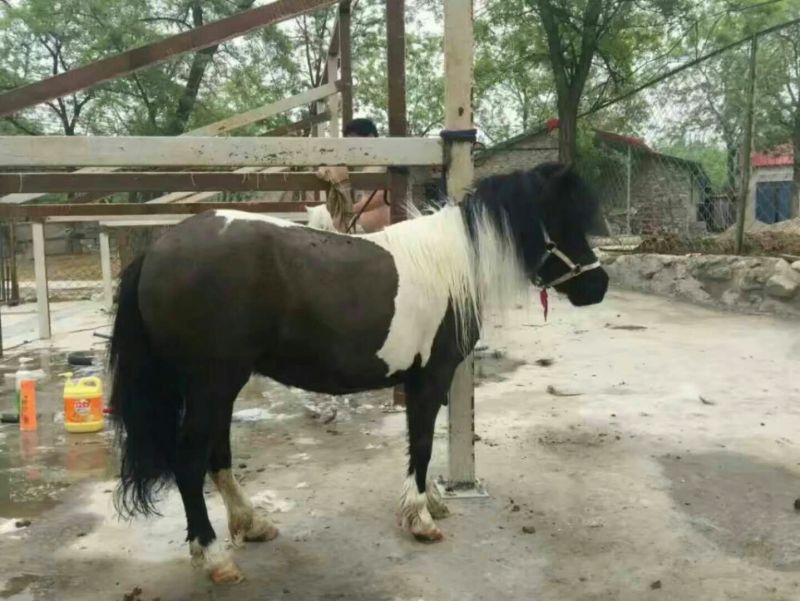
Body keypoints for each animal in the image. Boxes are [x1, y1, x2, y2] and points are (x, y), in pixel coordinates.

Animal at [108, 162, 609, 584]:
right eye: (562, 221)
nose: (598, 286)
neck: (450, 265)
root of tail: (157, 250)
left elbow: (419, 441)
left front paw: (429, 502)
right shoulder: (431, 377)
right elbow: (423, 443)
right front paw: (420, 518)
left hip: (220, 386)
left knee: (217, 455)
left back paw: (251, 525)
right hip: (212, 384)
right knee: (189, 463)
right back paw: (214, 558)